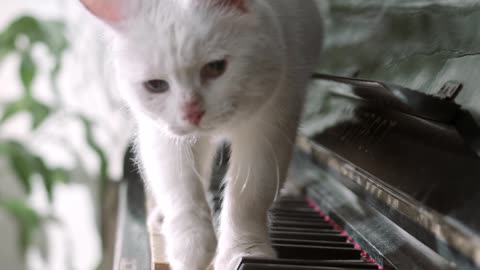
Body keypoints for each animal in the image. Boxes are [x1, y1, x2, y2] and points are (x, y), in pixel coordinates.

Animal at [79, 1, 322, 268]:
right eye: (156, 85)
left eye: (215, 68)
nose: (192, 112)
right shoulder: (163, 135)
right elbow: (181, 189)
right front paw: (190, 249)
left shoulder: (271, 123)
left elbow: (249, 196)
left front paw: (245, 251)